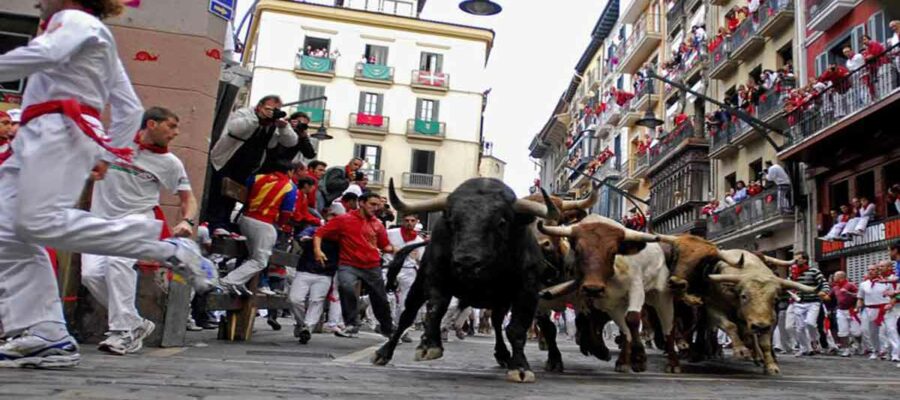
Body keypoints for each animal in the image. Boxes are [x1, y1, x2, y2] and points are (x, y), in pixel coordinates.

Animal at [370, 177, 556, 382]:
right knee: (407, 316)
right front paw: (429, 346)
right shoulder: (435, 276)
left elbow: (516, 328)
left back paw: (503, 354)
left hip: (500, 300)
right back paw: (384, 352)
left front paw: (520, 367)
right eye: (452, 221)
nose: (467, 262)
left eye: (501, 222)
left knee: (497, 322)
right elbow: (435, 309)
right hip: (418, 285)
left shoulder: (527, 291)